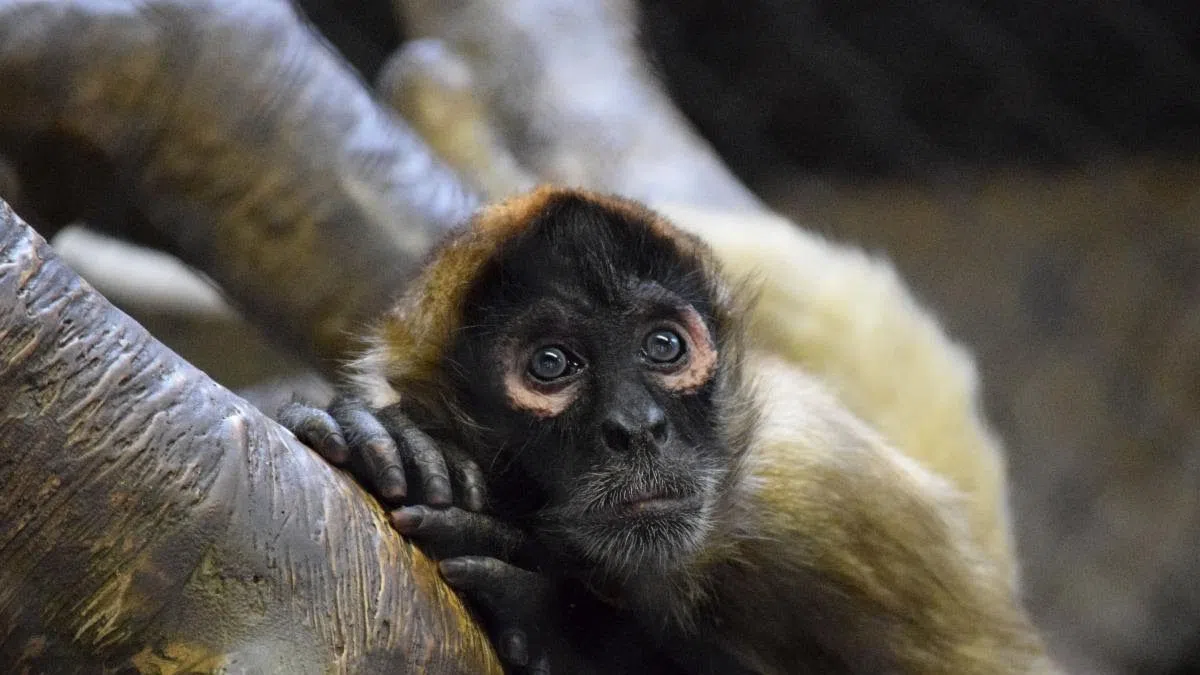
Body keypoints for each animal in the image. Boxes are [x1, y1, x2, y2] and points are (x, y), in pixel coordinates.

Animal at [279, 186, 1057, 674]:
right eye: (551, 364)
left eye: (663, 347)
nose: (638, 427)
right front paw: (389, 445)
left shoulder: (823, 486)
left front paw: (566, 622)